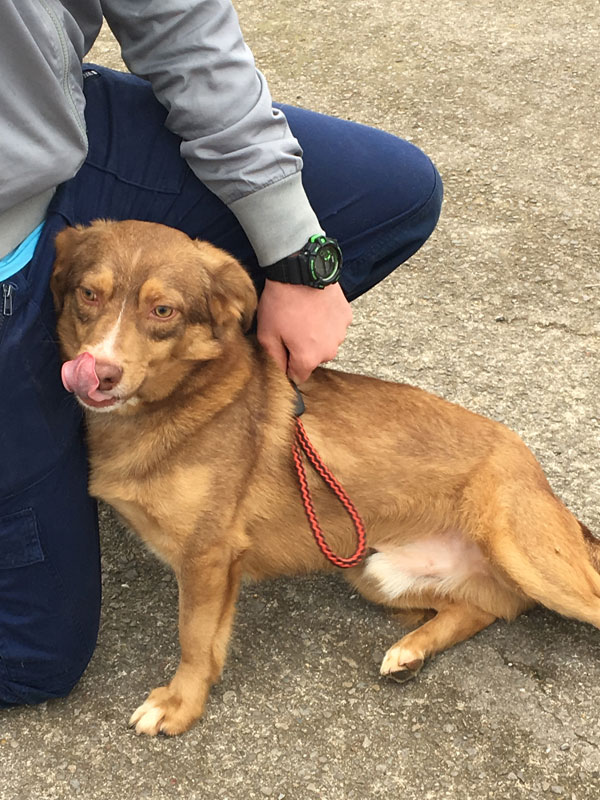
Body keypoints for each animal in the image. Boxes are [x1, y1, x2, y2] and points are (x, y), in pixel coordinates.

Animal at [52, 220, 600, 736]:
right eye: (89, 294)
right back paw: (411, 651)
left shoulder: (209, 556)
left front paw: (179, 704)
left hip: (525, 556)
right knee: (487, 609)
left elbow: (195, 639)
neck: (178, 401)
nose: (99, 372)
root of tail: (537, 475)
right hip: (373, 570)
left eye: (163, 311)